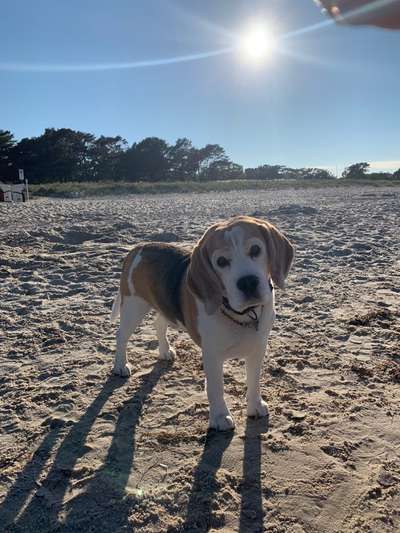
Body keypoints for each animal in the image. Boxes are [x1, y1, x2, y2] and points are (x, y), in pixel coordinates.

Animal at [111, 215, 292, 428]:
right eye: (221, 261)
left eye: (255, 249)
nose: (248, 282)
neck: (244, 315)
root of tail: (138, 248)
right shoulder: (212, 355)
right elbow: (216, 388)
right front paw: (220, 417)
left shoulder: (258, 348)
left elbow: (254, 380)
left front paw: (255, 406)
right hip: (133, 306)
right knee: (121, 336)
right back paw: (120, 365)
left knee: (159, 324)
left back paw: (164, 351)